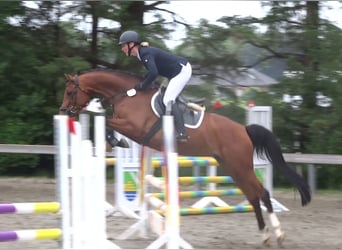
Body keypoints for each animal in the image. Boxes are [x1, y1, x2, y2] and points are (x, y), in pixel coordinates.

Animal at [59, 68, 312, 246]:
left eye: (70, 91)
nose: (63, 111)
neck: (128, 95)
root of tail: (244, 129)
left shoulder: (133, 127)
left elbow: (108, 122)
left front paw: (115, 140)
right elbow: (108, 123)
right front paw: (111, 142)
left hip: (241, 167)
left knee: (263, 193)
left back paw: (278, 234)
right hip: (233, 168)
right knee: (253, 196)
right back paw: (265, 236)